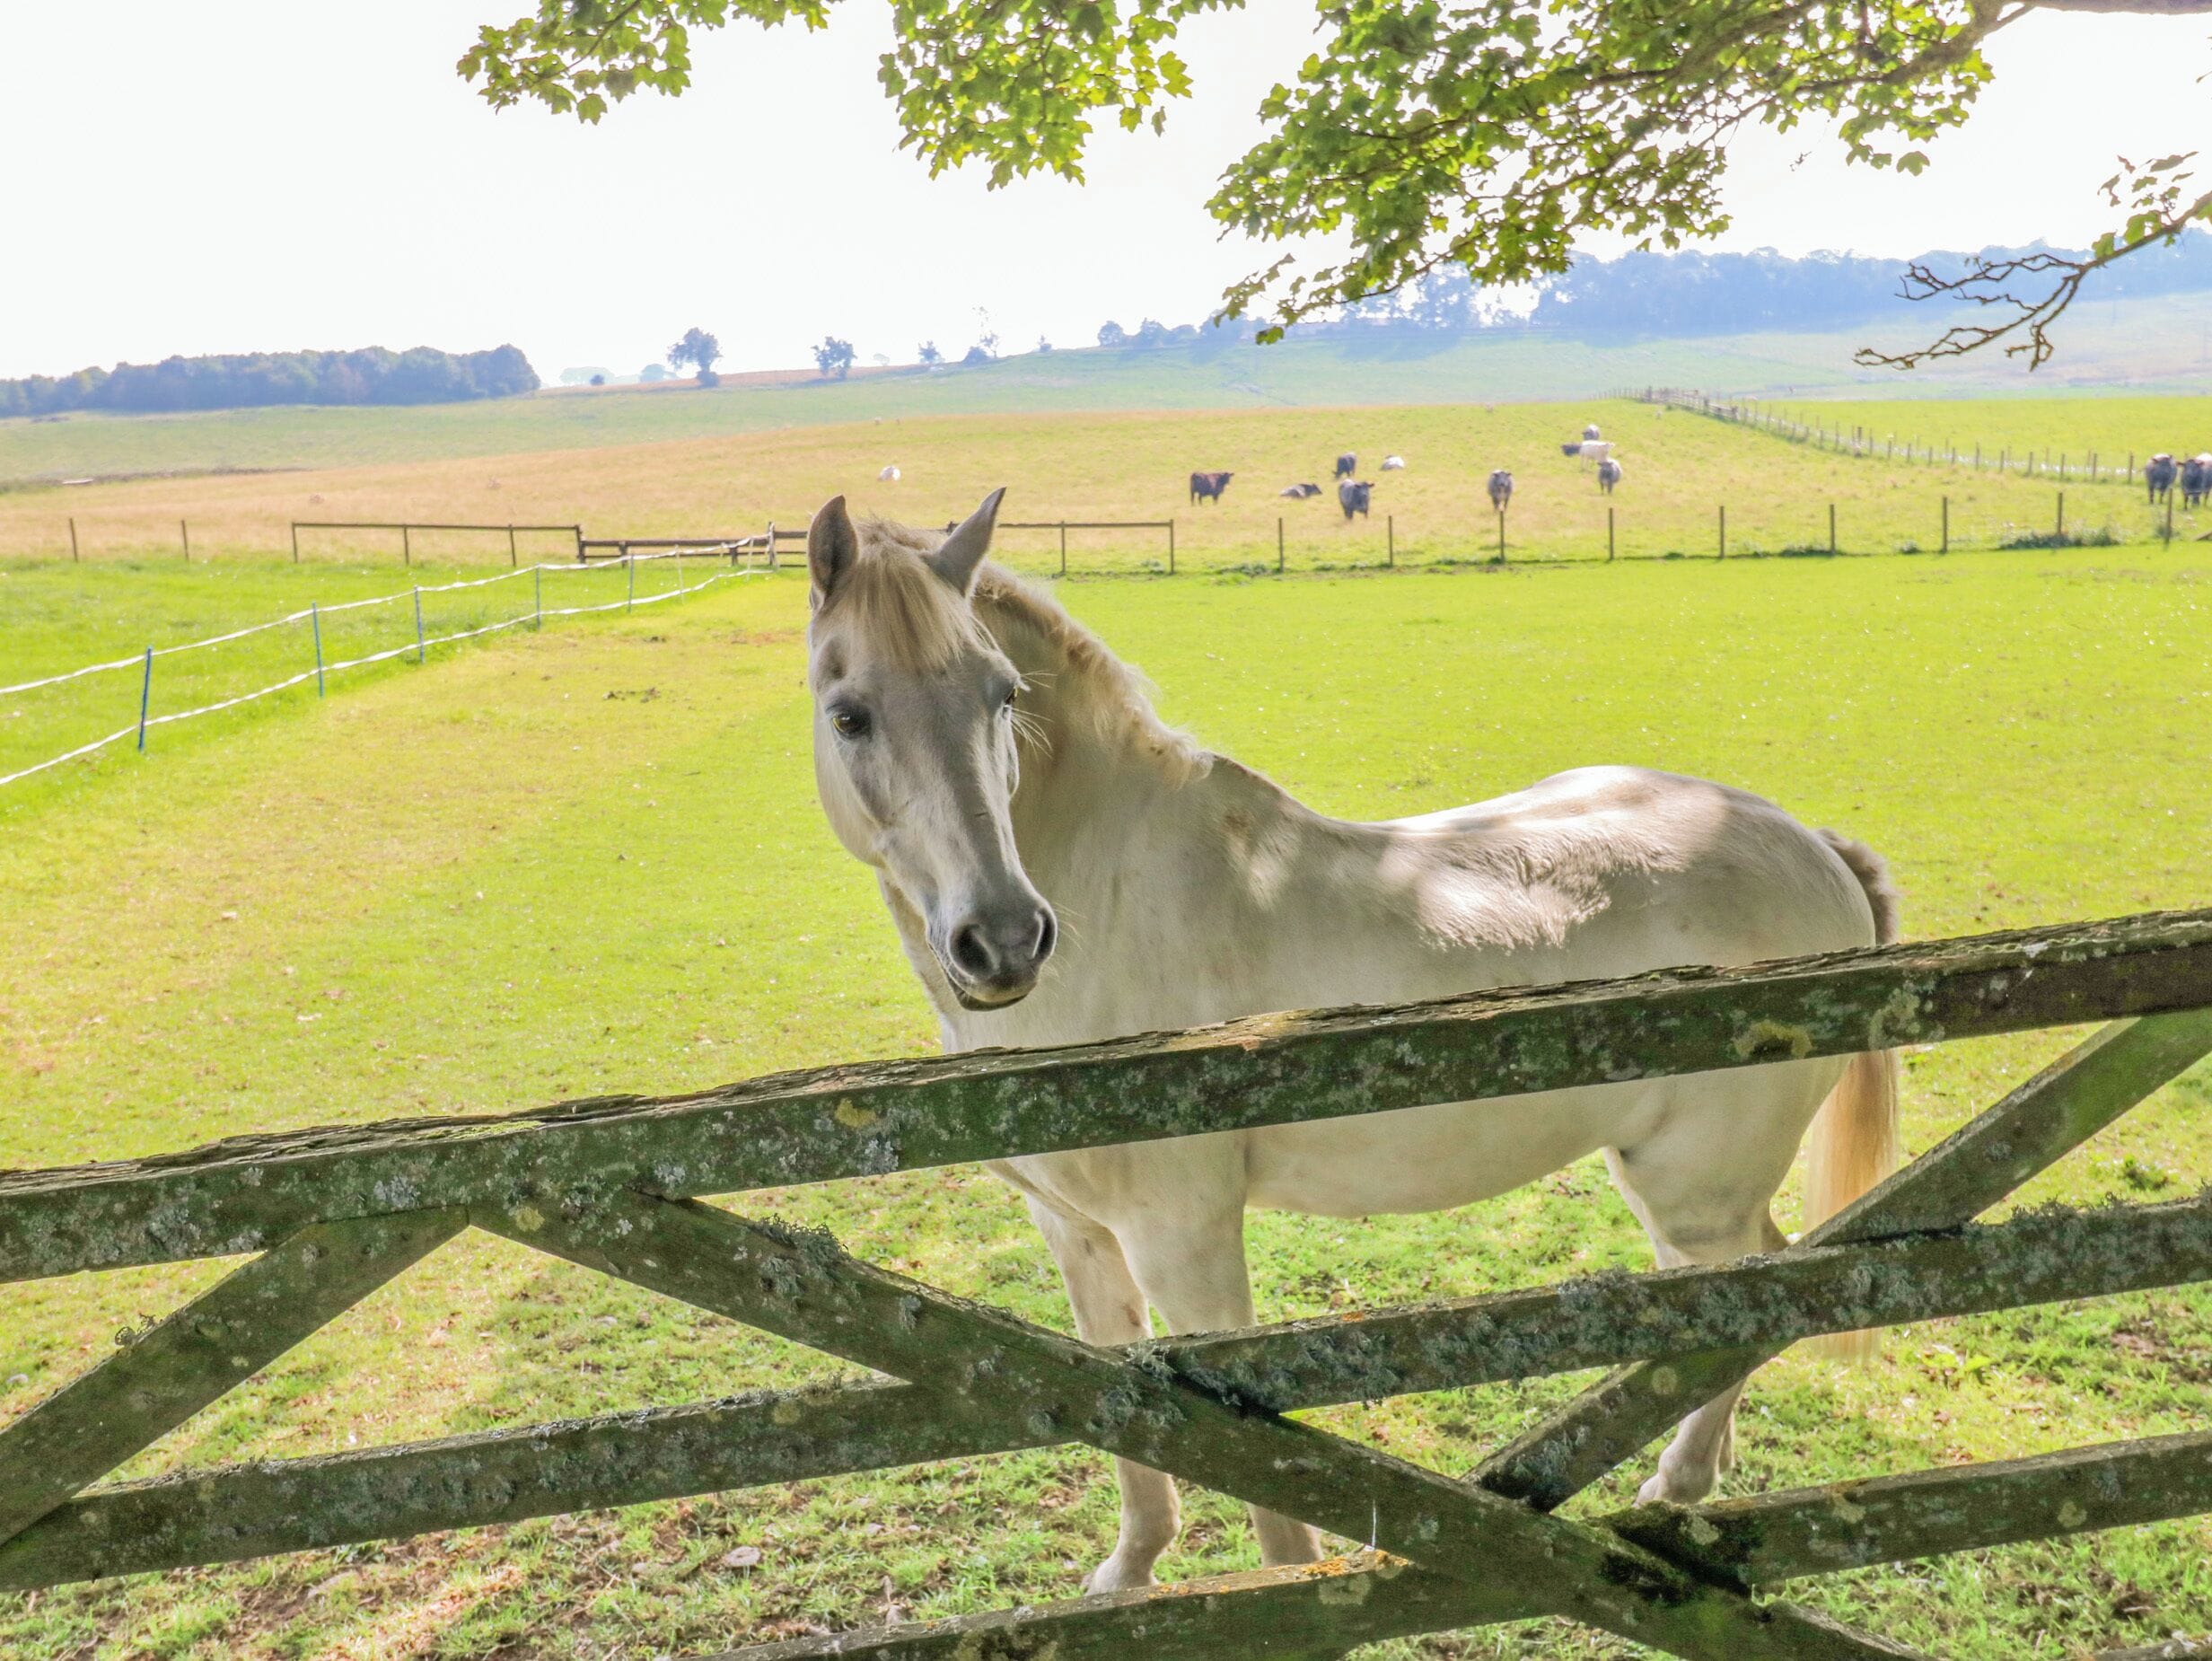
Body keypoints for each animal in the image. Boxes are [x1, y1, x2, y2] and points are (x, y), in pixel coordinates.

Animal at [801, 490, 1902, 1595]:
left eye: (1003, 695)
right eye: (848, 713)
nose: (1003, 939)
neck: (1112, 901)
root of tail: (1811, 843)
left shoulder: (1182, 1239)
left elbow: (1257, 1483)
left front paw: (1288, 1590)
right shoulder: (1077, 1232)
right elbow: (1123, 1429)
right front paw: (1130, 1574)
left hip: (1693, 1191)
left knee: (1752, 1296)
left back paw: (1677, 1484)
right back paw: (1691, 1477)